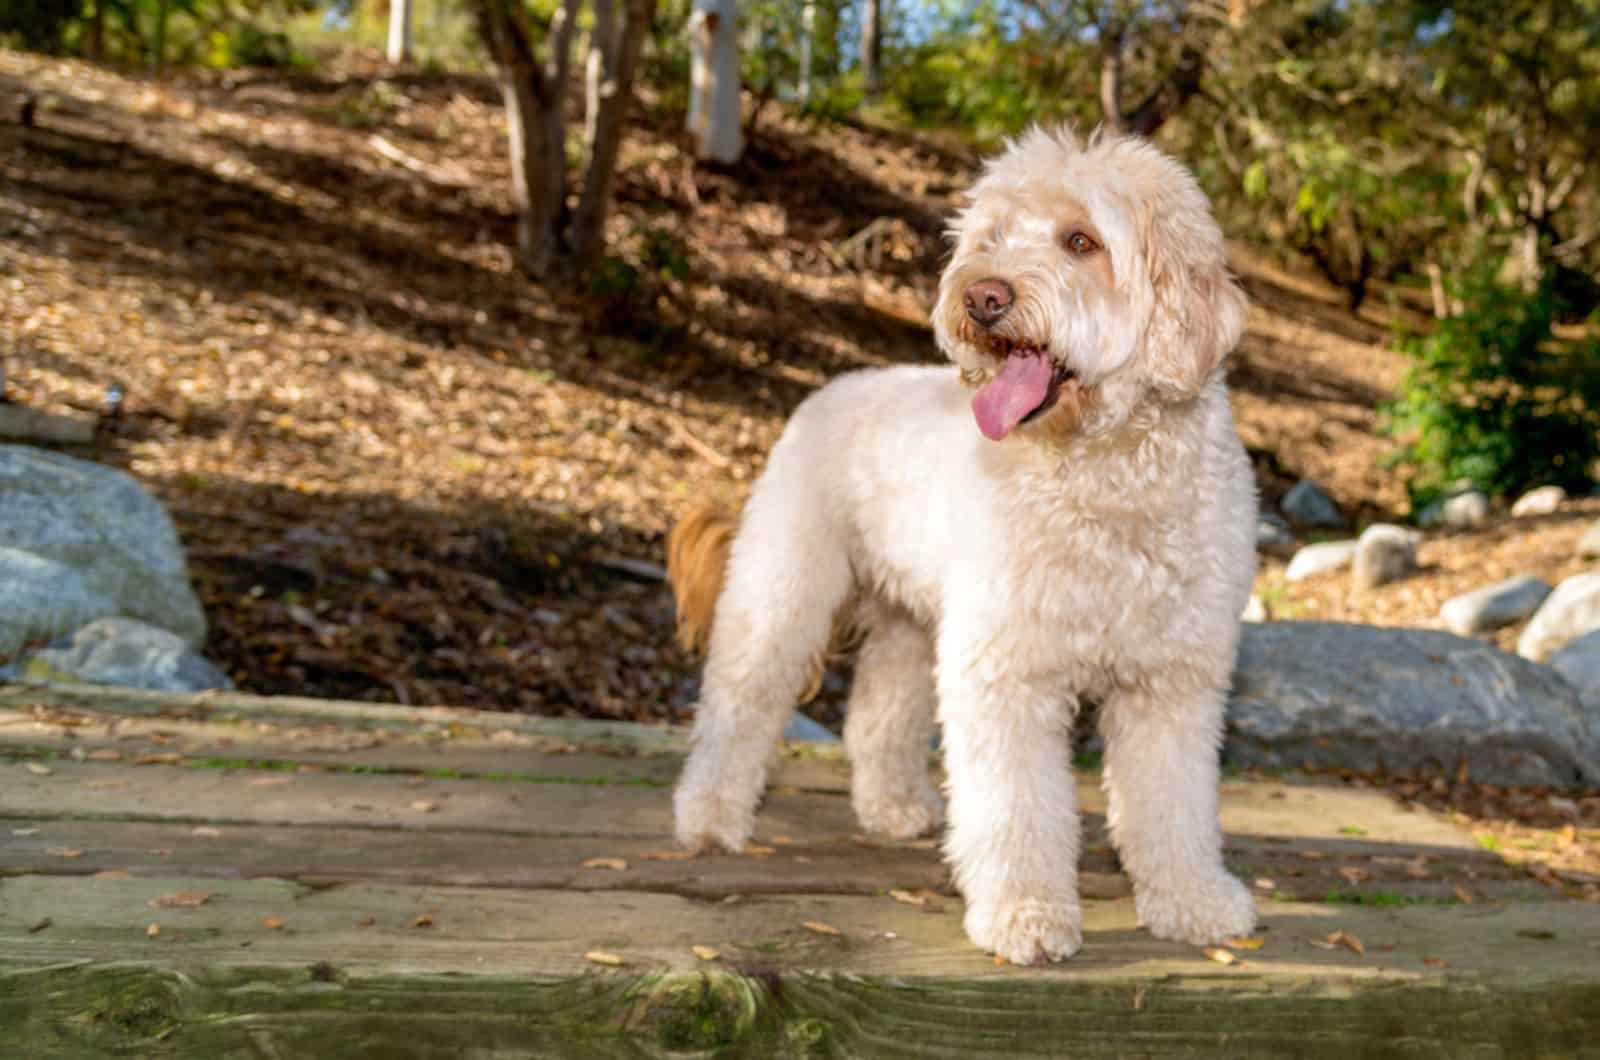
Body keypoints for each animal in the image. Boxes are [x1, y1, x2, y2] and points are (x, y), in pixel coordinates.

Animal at [665, 128, 1260, 967]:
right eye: (991, 239)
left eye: (1082, 241)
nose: (982, 296)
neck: (1106, 474)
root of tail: (836, 384)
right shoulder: (1006, 668)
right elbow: (1015, 806)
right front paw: (1024, 913)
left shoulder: (1173, 682)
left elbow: (1173, 804)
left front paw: (1193, 900)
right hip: (783, 588)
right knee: (740, 699)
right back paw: (710, 815)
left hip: (915, 620)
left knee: (878, 712)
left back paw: (890, 805)